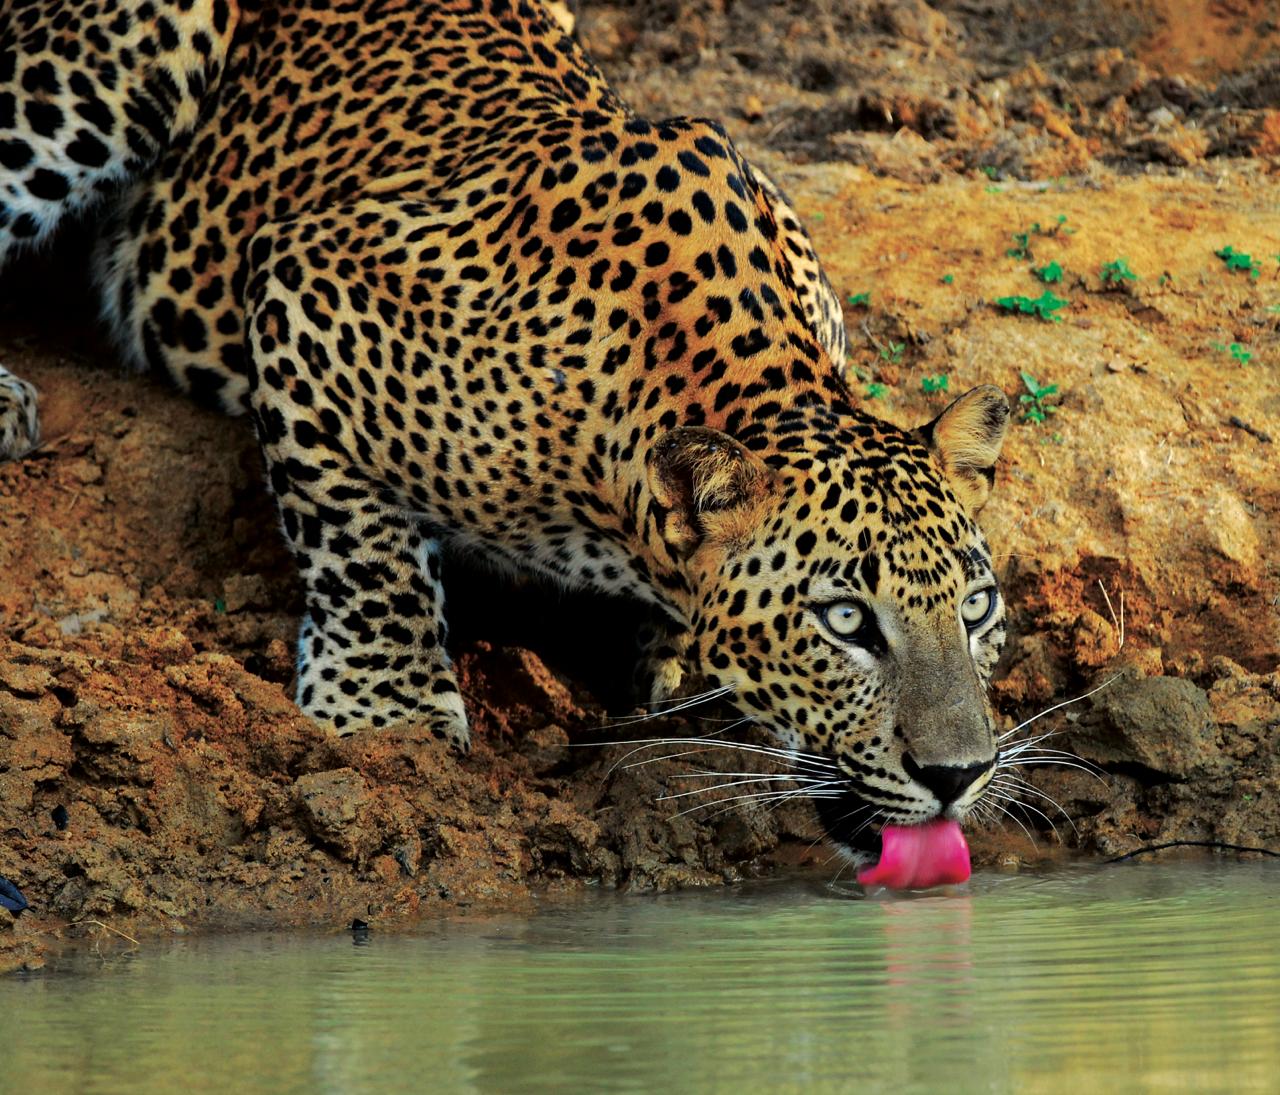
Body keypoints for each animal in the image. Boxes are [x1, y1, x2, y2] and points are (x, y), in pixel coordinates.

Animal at [0, 0, 1011, 870]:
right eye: (845, 622)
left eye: (976, 609)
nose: (959, 776)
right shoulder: (308, 279)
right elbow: (361, 549)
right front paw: (386, 711)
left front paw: (663, 658)